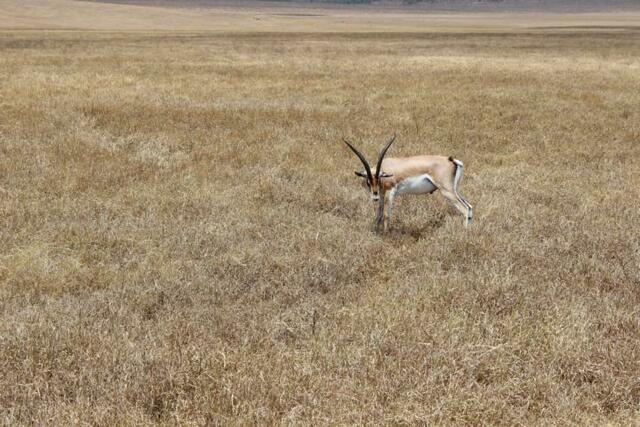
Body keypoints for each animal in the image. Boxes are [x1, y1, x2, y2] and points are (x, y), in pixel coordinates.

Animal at [343, 133, 472, 232]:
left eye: (378, 179)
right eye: (368, 182)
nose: (374, 197)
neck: (386, 167)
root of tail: (450, 160)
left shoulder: (390, 193)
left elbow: (387, 214)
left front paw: (385, 233)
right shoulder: (382, 194)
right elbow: (378, 214)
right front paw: (376, 232)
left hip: (447, 191)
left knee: (465, 209)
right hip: (455, 190)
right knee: (469, 207)